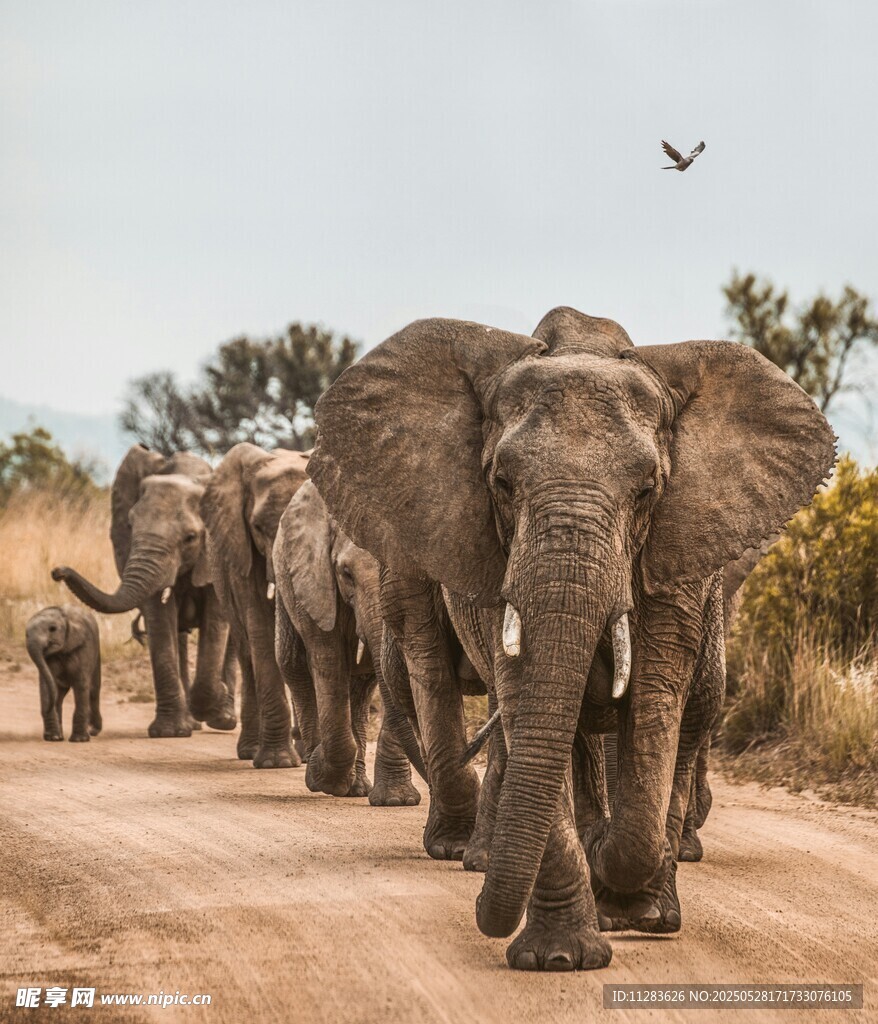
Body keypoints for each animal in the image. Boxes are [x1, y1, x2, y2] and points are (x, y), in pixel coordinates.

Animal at [26, 604, 102, 742]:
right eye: (26, 634)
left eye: (53, 629)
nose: (47, 708)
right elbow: (47, 684)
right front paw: (53, 738)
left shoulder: (84, 647)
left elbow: (81, 683)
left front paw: (79, 740)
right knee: (59, 695)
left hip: (97, 653)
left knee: (93, 690)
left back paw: (93, 731)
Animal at [52, 445, 236, 739]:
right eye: (129, 526)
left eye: (190, 538)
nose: (57, 571)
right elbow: (159, 619)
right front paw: (169, 732)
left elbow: (217, 620)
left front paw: (215, 697)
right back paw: (193, 722)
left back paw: (224, 719)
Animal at [199, 442, 311, 768]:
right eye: (259, 527)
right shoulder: (241, 548)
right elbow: (260, 625)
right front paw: (277, 762)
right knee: (247, 652)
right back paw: (251, 751)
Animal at [273, 480, 425, 802]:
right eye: (346, 573)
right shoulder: (315, 580)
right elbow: (328, 661)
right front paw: (321, 775)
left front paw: (397, 801)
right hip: (286, 581)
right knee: (294, 666)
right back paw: (318, 773)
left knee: (362, 685)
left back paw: (355, 788)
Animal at [307, 307, 835, 971]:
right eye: (502, 483)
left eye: (647, 490)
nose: (480, 911)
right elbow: (527, 702)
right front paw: (560, 957)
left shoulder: (676, 555)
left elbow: (655, 706)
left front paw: (630, 899)